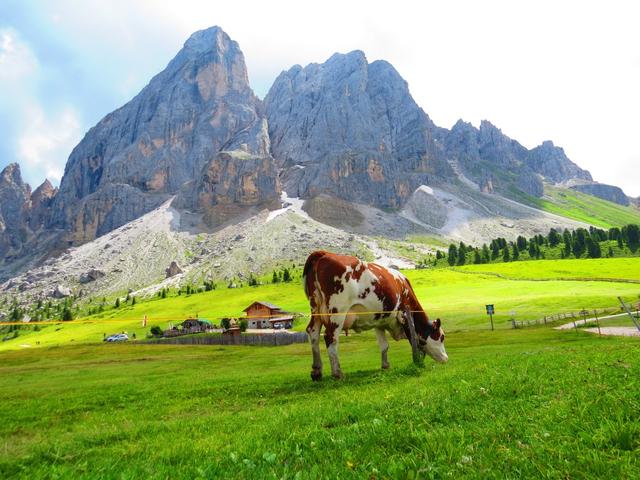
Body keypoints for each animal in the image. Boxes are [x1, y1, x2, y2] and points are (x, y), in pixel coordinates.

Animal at [302, 249, 448, 380]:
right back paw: (337, 373)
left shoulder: (379, 321)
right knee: (330, 337)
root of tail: (324, 253)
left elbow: (384, 346)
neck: (403, 288)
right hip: (337, 311)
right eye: (441, 337)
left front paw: (385, 365)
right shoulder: (405, 317)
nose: (446, 358)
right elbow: (413, 341)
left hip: (315, 309)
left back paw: (316, 371)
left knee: (313, 333)